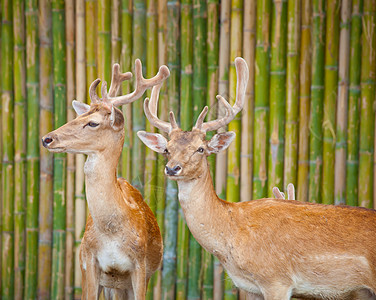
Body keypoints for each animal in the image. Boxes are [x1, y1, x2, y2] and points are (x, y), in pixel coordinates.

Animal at [41, 59, 170, 298]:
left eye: (92, 123)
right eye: (77, 116)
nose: (47, 138)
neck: (111, 233)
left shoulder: (140, 265)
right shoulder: (88, 262)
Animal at [137, 56, 376, 300]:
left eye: (200, 149)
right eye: (167, 149)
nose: (172, 168)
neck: (231, 233)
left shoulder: (276, 279)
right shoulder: (251, 287)